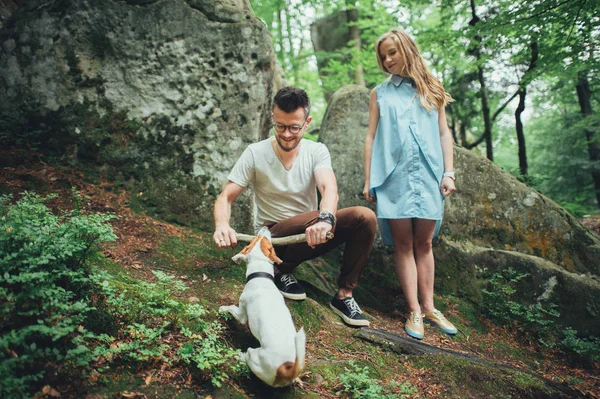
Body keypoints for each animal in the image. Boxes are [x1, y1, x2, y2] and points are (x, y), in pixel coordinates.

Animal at [219, 228, 308, 388]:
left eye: (261, 239)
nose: (265, 228)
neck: (261, 276)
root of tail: (287, 368)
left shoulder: (242, 313)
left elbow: (232, 308)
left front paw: (223, 308)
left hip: (254, 356)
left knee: (247, 357)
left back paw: (238, 355)